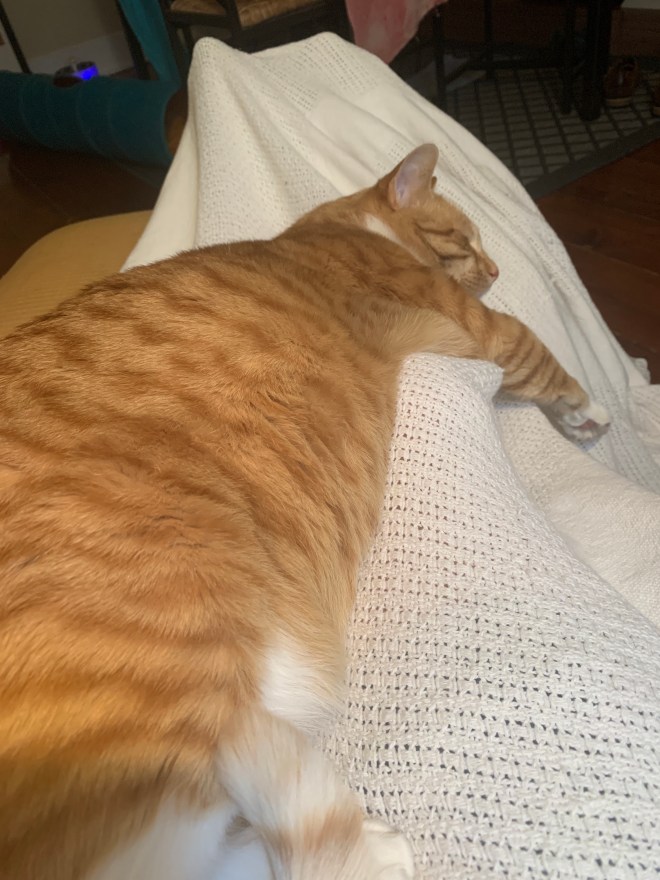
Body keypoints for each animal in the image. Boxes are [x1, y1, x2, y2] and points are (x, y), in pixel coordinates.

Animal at [0, 143, 610, 880]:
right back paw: (377, 849)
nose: (496, 269)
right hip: (173, 709)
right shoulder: (484, 330)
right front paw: (590, 415)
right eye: (464, 239)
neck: (330, 230)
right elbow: (549, 366)